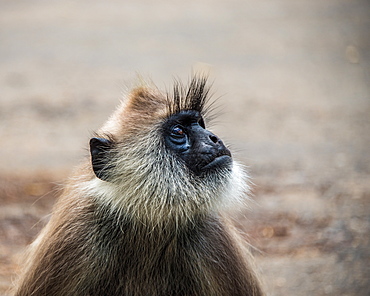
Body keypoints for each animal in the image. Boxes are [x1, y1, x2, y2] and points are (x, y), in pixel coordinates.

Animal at [13, 75, 264, 294]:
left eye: (200, 124)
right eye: (178, 131)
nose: (214, 138)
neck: (149, 219)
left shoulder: (209, 233)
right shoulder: (77, 232)